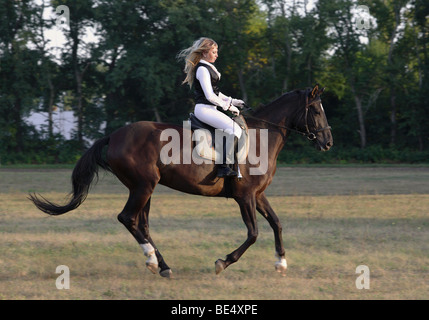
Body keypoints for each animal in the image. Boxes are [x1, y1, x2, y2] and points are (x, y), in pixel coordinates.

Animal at [28, 84, 332, 278]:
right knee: (128, 218)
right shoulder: (244, 197)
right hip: (143, 186)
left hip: (145, 189)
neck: (261, 137)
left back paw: (162, 265)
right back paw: (153, 261)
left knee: (141, 223)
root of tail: (114, 135)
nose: (328, 142)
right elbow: (253, 233)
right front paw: (223, 262)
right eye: (316, 111)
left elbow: (276, 223)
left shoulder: (257, 195)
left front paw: (281, 263)